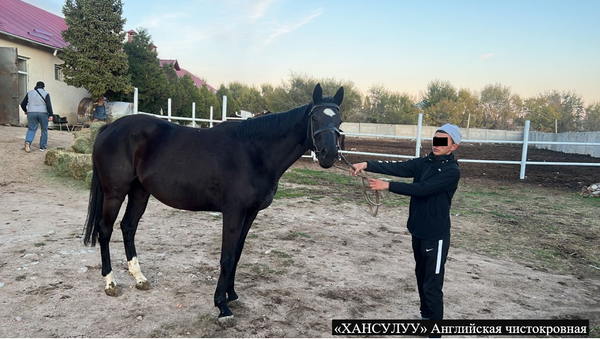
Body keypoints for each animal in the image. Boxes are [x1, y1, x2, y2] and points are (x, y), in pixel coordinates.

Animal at [83, 83, 342, 326]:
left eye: (339, 120)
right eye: (315, 118)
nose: (329, 154)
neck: (254, 152)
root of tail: (109, 128)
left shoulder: (250, 214)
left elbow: (236, 254)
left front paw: (232, 294)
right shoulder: (233, 212)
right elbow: (226, 257)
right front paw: (222, 306)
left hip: (139, 192)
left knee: (128, 227)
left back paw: (139, 278)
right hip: (115, 193)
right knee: (105, 230)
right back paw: (110, 282)